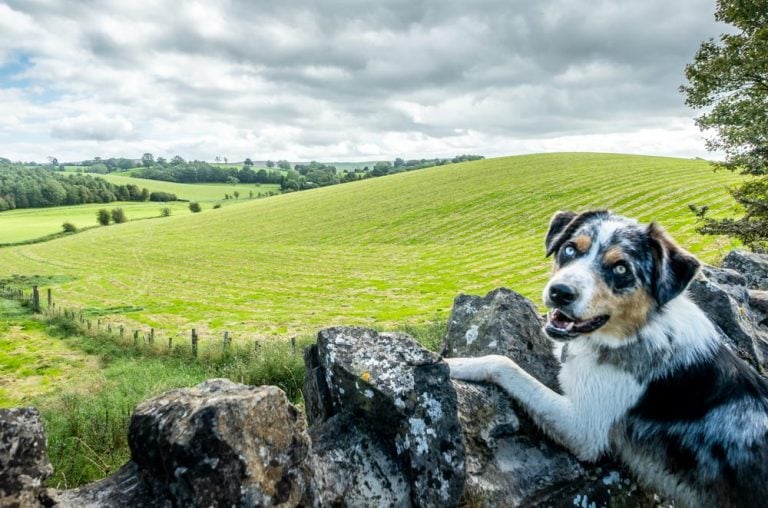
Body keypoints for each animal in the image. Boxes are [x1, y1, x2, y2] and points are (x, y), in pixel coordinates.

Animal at [444, 209, 768, 504]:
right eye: (569, 249)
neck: (638, 330)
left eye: (621, 269)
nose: (560, 292)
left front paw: (455, 364)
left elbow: (504, 363)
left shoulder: (585, 429)